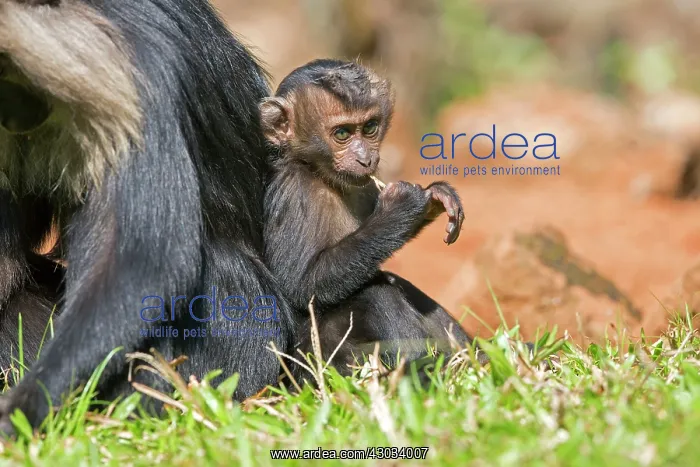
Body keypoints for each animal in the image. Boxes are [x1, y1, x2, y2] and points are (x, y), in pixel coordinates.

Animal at [260, 59, 475, 377]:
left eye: (370, 127)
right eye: (342, 134)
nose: (366, 159)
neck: (322, 176)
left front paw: (435, 196)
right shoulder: (297, 193)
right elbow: (302, 286)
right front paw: (400, 208)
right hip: (321, 361)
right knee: (376, 291)